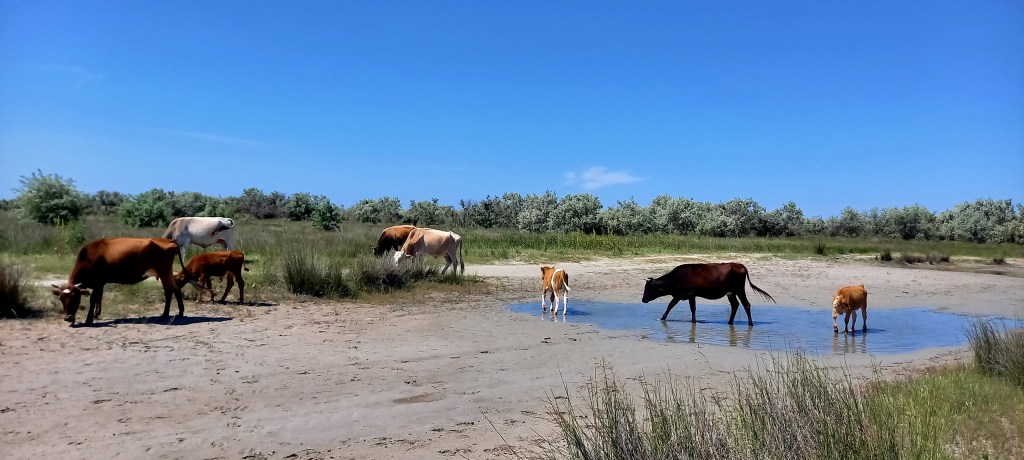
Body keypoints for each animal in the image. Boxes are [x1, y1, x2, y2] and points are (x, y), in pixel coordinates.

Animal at [51, 238, 189, 326]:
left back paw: (164, 314)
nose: (68, 318)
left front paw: (89, 319)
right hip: (168, 272)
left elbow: (93, 299)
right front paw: (96, 314)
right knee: (176, 288)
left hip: (163, 272)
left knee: (168, 291)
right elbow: (99, 298)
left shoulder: (98, 282)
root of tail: (168, 240)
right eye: (61, 299)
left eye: (75, 298)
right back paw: (181, 312)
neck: (88, 257)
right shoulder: (101, 283)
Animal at [641, 263, 775, 326]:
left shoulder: (690, 294)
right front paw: (662, 318)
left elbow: (691, 308)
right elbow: (670, 306)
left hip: (739, 289)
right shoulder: (680, 295)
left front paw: (693, 322)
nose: (643, 299)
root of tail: (740, 265)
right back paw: (730, 322)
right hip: (731, 292)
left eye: (648, 288)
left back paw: (750, 324)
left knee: (746, 304)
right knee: (735, 305)